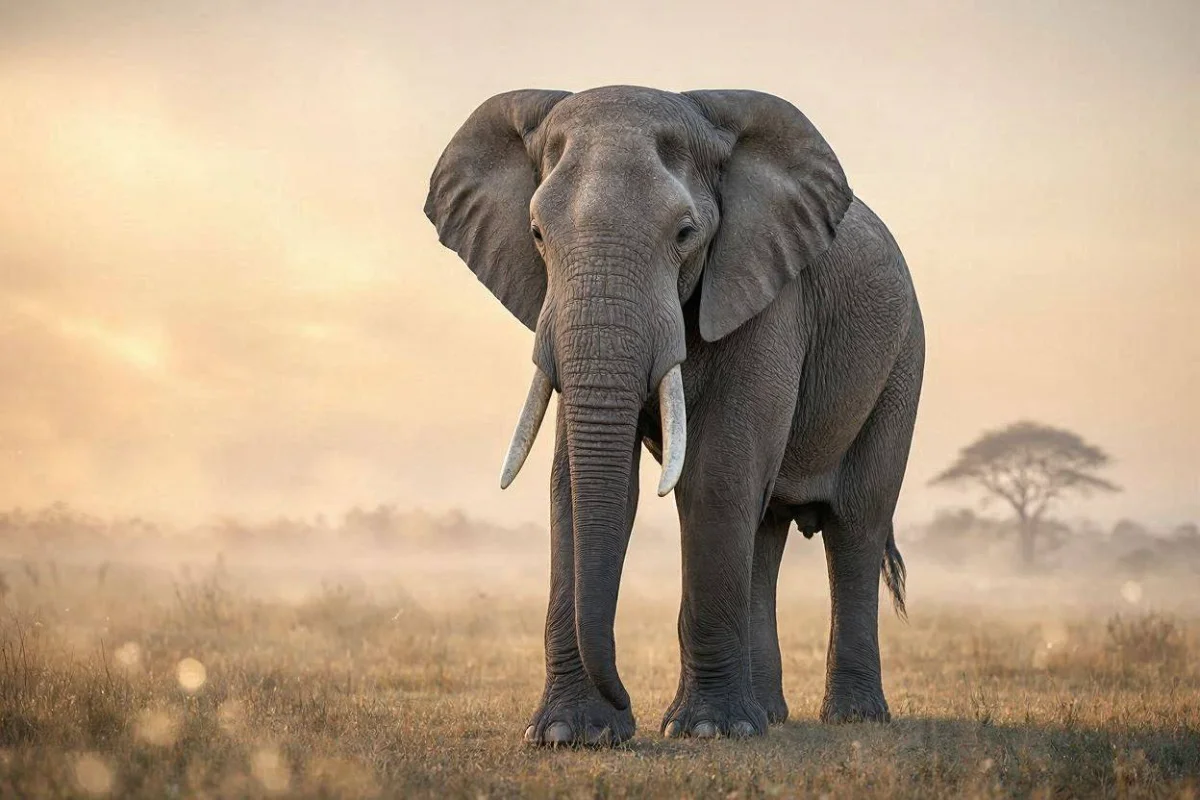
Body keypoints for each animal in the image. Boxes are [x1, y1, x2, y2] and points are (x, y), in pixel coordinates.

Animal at [424, 86, 924, 746]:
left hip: (902, 363)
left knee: (856, 526)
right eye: (535, 234)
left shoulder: (767, 293)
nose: (625, 698)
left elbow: (716, 475)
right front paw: (568, 736)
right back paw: (768, 717)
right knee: (765, 527)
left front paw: (705, 732)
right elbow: (575, 485)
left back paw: (850, 718)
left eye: (685, 233)